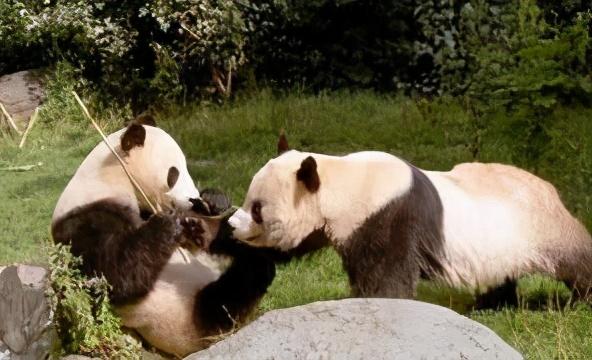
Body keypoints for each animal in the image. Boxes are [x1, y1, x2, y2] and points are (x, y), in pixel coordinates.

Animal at [52, 119, 274, 356]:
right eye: (173, 174)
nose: (192, 199)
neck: (109, 179)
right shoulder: (84, 218)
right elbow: (115, 275)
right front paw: (168, 223)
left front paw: (213, 200)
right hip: (195, 318)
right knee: (236, 290)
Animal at [228, 135, 592, 304]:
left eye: (258, 208)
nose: (234, 225)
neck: (340, 180)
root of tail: (550, 189)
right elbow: (291, 248)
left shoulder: (387, 213)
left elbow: (387, 274)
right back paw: (493, 303)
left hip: (541, 227)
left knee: (576, 260)